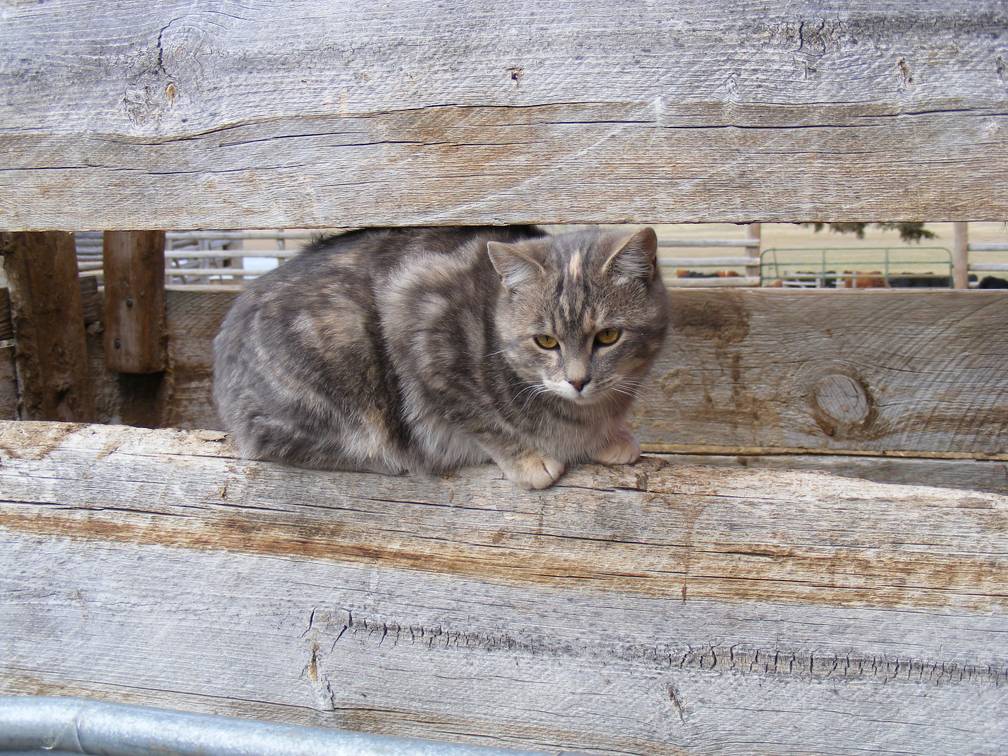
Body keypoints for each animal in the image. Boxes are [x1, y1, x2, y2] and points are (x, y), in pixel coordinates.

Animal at [213, 224, 669, 491]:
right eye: (545, 341)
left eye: (608, 336)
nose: (577, 380)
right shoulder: (422, 331)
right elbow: (478, 418)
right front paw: (530, 458)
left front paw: (610, 437)